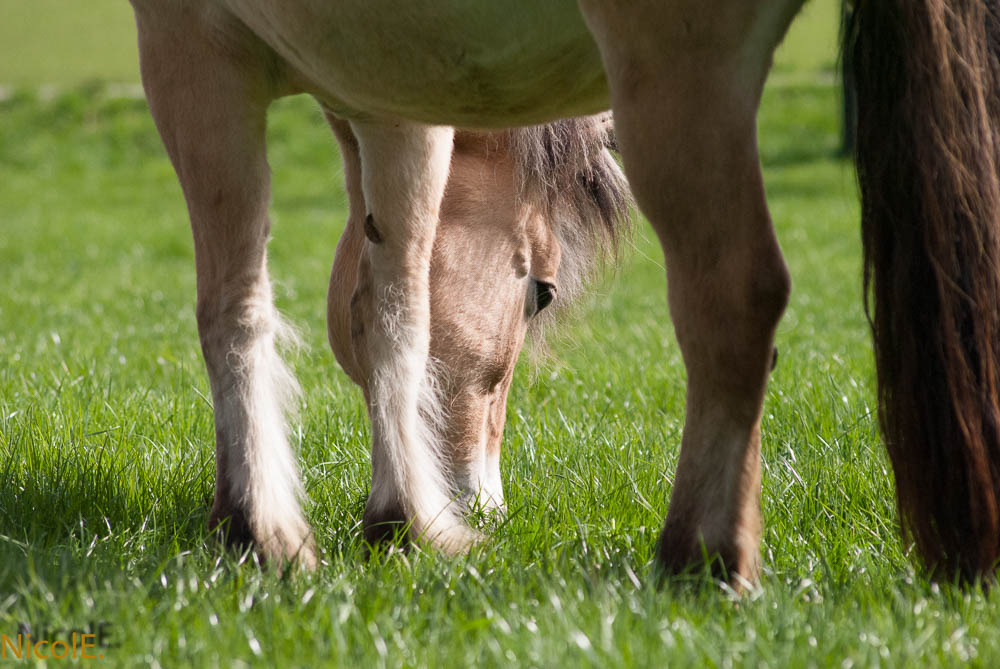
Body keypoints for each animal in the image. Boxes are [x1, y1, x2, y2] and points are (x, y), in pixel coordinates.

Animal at [129, 0, 1000, 580]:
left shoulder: (190, 47)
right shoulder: (390, 95)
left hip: (679, 72)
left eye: (542, 294)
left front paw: (256, 526)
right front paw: (405, 519)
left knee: (735, 293)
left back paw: (698, 555)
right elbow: (393, 314)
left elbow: (234, 304)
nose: (482, 500)